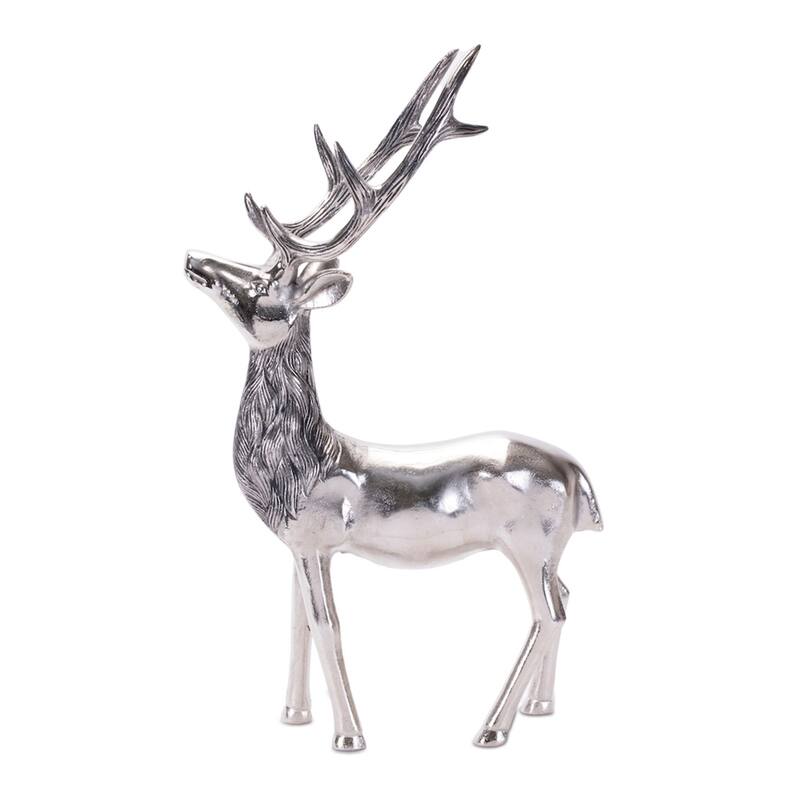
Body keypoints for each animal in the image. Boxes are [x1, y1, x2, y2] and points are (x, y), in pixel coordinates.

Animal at [185, 46, 603, 751]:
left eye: (266, 281)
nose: (194, 259)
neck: (299, 465)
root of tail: (578, 475)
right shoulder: (297, 544)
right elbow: (296, 624)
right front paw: (292, 717)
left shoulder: (318, 537)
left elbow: (328, 626)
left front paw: (349, 738)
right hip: (552, 547)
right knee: (568, 598)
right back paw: (540, 708)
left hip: (529, 538)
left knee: (548, 612)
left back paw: (492, 728)